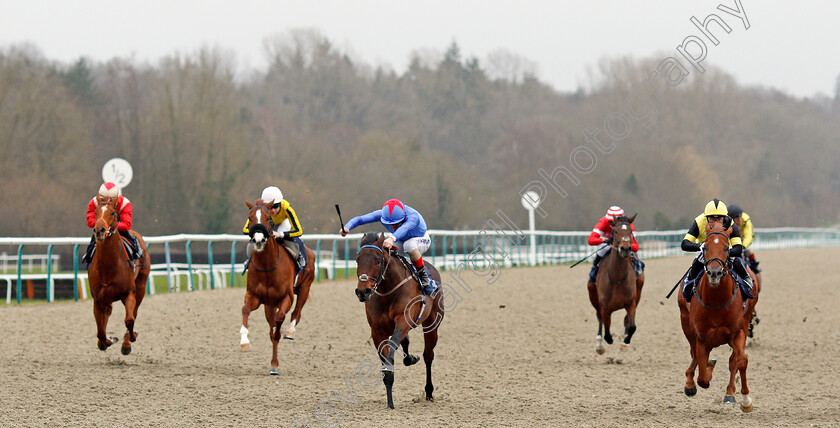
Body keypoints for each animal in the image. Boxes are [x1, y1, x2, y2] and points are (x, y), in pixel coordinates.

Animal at [88, 197, 150, 354]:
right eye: (96, 212)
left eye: (113, 213)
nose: (99, 230)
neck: (109, 266)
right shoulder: (98, 299)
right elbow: (101, 333)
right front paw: (109, 340)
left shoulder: (129, 293)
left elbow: (130, 320)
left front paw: (129, 340)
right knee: (108, 313)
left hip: (141, 286)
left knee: (134, 313)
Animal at [238, 200, 316, 374]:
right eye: (250, 218)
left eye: (268, 219)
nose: (258, 239)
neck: (267, 266)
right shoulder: (255, 296)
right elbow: (245, 310)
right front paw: (244, 341)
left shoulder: (286, 297)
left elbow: (279, 321)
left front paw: (281, 334)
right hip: (269, 304)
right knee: (271, 324)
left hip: (305, 287)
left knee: (296, 313)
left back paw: (289, 333)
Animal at [354, 232, 446, 410]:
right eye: (357, 260)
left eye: (378, 260)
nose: (363, 292)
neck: (388, 290)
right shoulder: (377, 331)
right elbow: (387, 355)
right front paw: (389, 401)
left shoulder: (403, 321)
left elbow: (392, 349)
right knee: (406, 343)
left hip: (432, 325)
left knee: (428, 355)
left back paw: (429, 392)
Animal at [592, 216, 644, 352]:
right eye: (615, 231)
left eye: (630, 232)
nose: (625, 249)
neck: (617, 278)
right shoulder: (605, 307)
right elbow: (607, 332)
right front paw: (607, 341)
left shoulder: (631, 303)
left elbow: (632, 326)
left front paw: (625, 342)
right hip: (593, 296)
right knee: (599, 318)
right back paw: (599, 345)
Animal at [680, 221, 756, 412]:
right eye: (705, 247)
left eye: (726, 248)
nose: (714, 273)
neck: (716, 302)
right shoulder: (701, 338)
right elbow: (702, 378)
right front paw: (702, 373)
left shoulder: (737, 333)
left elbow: (740, 360)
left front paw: (745, 400)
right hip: (685, 324)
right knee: (693, 354)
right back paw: (690, 382)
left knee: (734, 360)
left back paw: (730, 393)